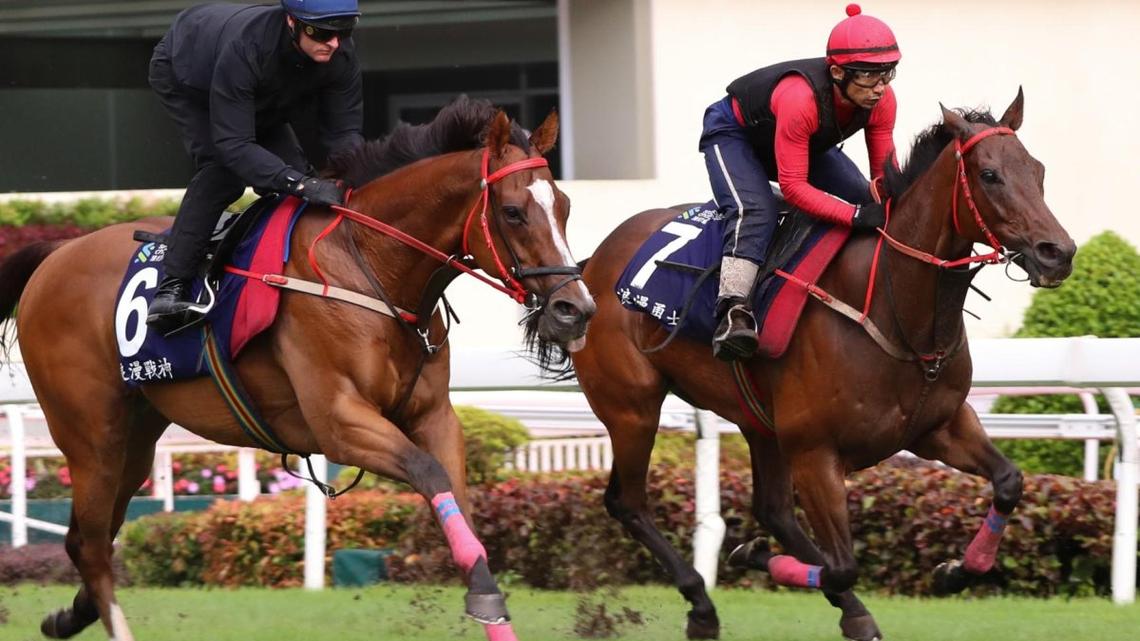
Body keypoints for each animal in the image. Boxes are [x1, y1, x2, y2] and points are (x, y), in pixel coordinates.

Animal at [0, 97, 595, 641]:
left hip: (137, 432)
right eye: (513, 211)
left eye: (565, 206)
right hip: (91, 434)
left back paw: (67, 616)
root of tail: (54, 255)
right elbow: (428, 473)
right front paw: (486, 597)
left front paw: (487, 599)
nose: (576, 309)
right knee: (93, 545)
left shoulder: (433, 415)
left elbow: (461, 505)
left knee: (87, 535)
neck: (369, 265)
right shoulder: (339, 422)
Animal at [525, 89, 1076, 640]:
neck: (894, 310)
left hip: (759, 421)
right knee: (630, 502)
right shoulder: (816, 453)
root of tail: (587, 268)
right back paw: (703, 605)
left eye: (1039, 170)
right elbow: (843, 564)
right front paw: (751, 557)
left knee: (772, 510)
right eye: (989, 174)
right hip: (633, 407)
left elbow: (1009, 482)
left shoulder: (936, 427)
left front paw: (953, 571)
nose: (1058, 252)